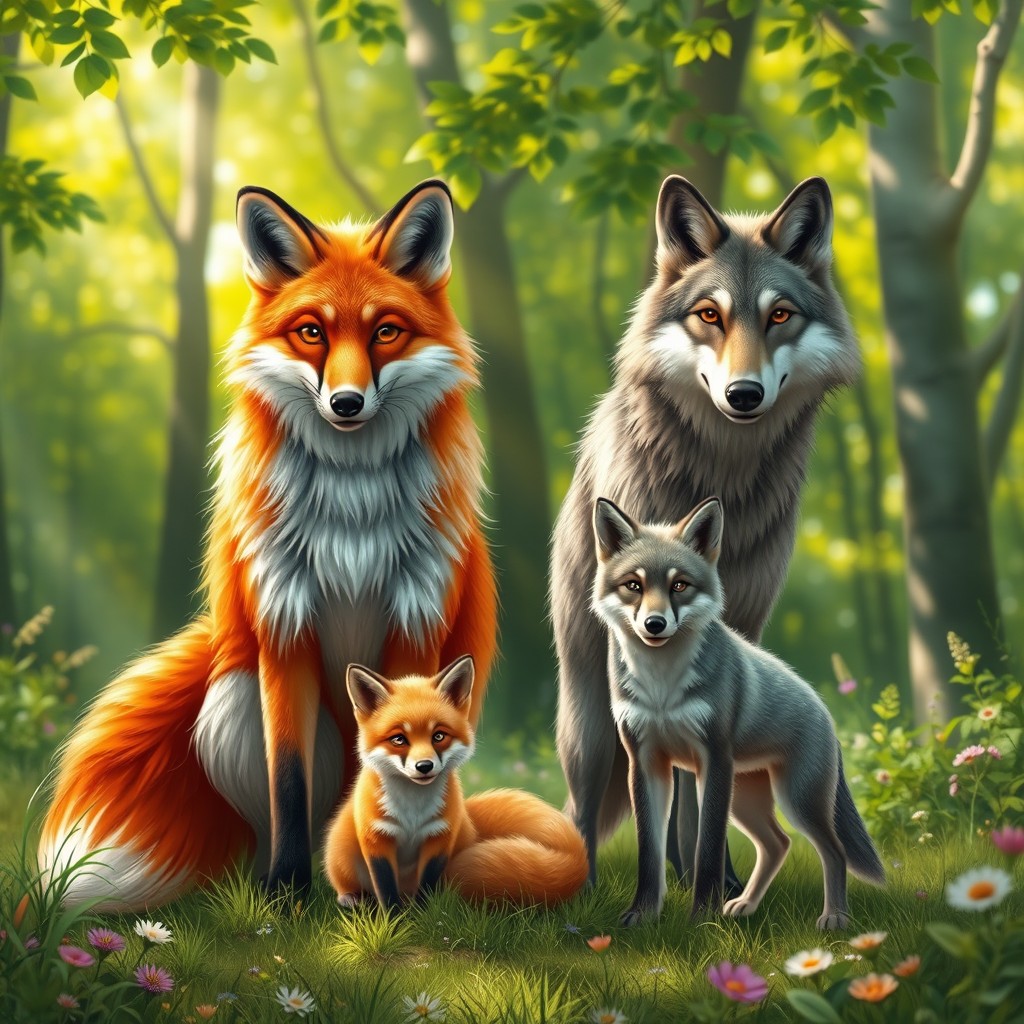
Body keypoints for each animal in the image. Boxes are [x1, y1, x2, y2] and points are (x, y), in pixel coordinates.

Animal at [39, 180, 497, 910]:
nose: (346, 403)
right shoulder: (284, 627)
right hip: (231, 699)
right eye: (312, 332)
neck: (351, 515)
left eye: (385, 331)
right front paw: (287, 892)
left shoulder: (416, 625)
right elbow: (288, 776)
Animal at [324, 656, 588, 908]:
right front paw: (393, 917)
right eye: (399, 739)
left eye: (438, 736)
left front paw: (421, 914)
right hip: (340, 852)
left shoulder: (440, 837)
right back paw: (352, 898)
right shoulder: (376, 839)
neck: (413, 811)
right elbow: (386, 888)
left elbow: (427, 884)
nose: (424, 766)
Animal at [551, 175, 860, 891]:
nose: (744, 394)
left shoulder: (738, 636)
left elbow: (702, 784)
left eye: (780, 316)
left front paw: (712, 881)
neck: (722, 472)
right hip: (587, 707)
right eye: (710, 315)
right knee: (584, 803)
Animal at [591, 496, 885, 930]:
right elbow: (650, 853)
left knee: (833, 850)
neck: (662, 690)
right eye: (634, 585)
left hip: (796, 799)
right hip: (746, 799)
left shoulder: (713, 760)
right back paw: (745, 905)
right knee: (778, 843)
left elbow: (709, 850)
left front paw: (701, 919)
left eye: (679, 585)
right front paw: (642, 916)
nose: (655, 624)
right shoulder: (645, 761)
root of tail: (824, 709)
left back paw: (834, 917)